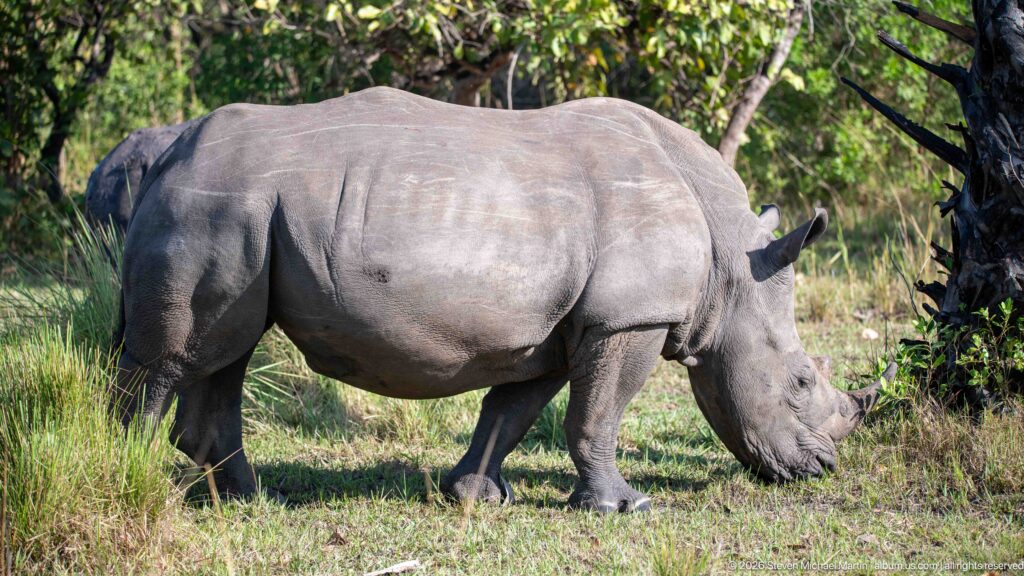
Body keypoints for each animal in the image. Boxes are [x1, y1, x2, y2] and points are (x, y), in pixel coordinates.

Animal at [115, 87, 894, 512]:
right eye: (801, 381)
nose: (822, 470)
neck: (729, 268)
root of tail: (168, 154)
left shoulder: (559, 328)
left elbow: (513, 411)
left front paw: (474, 495)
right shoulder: (628, 318)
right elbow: (598, 414)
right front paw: (624, 506)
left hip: (237, 211)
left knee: (225, 352)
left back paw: (252, 499)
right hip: (210, 205)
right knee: (173, 363)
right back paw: (121, 476)